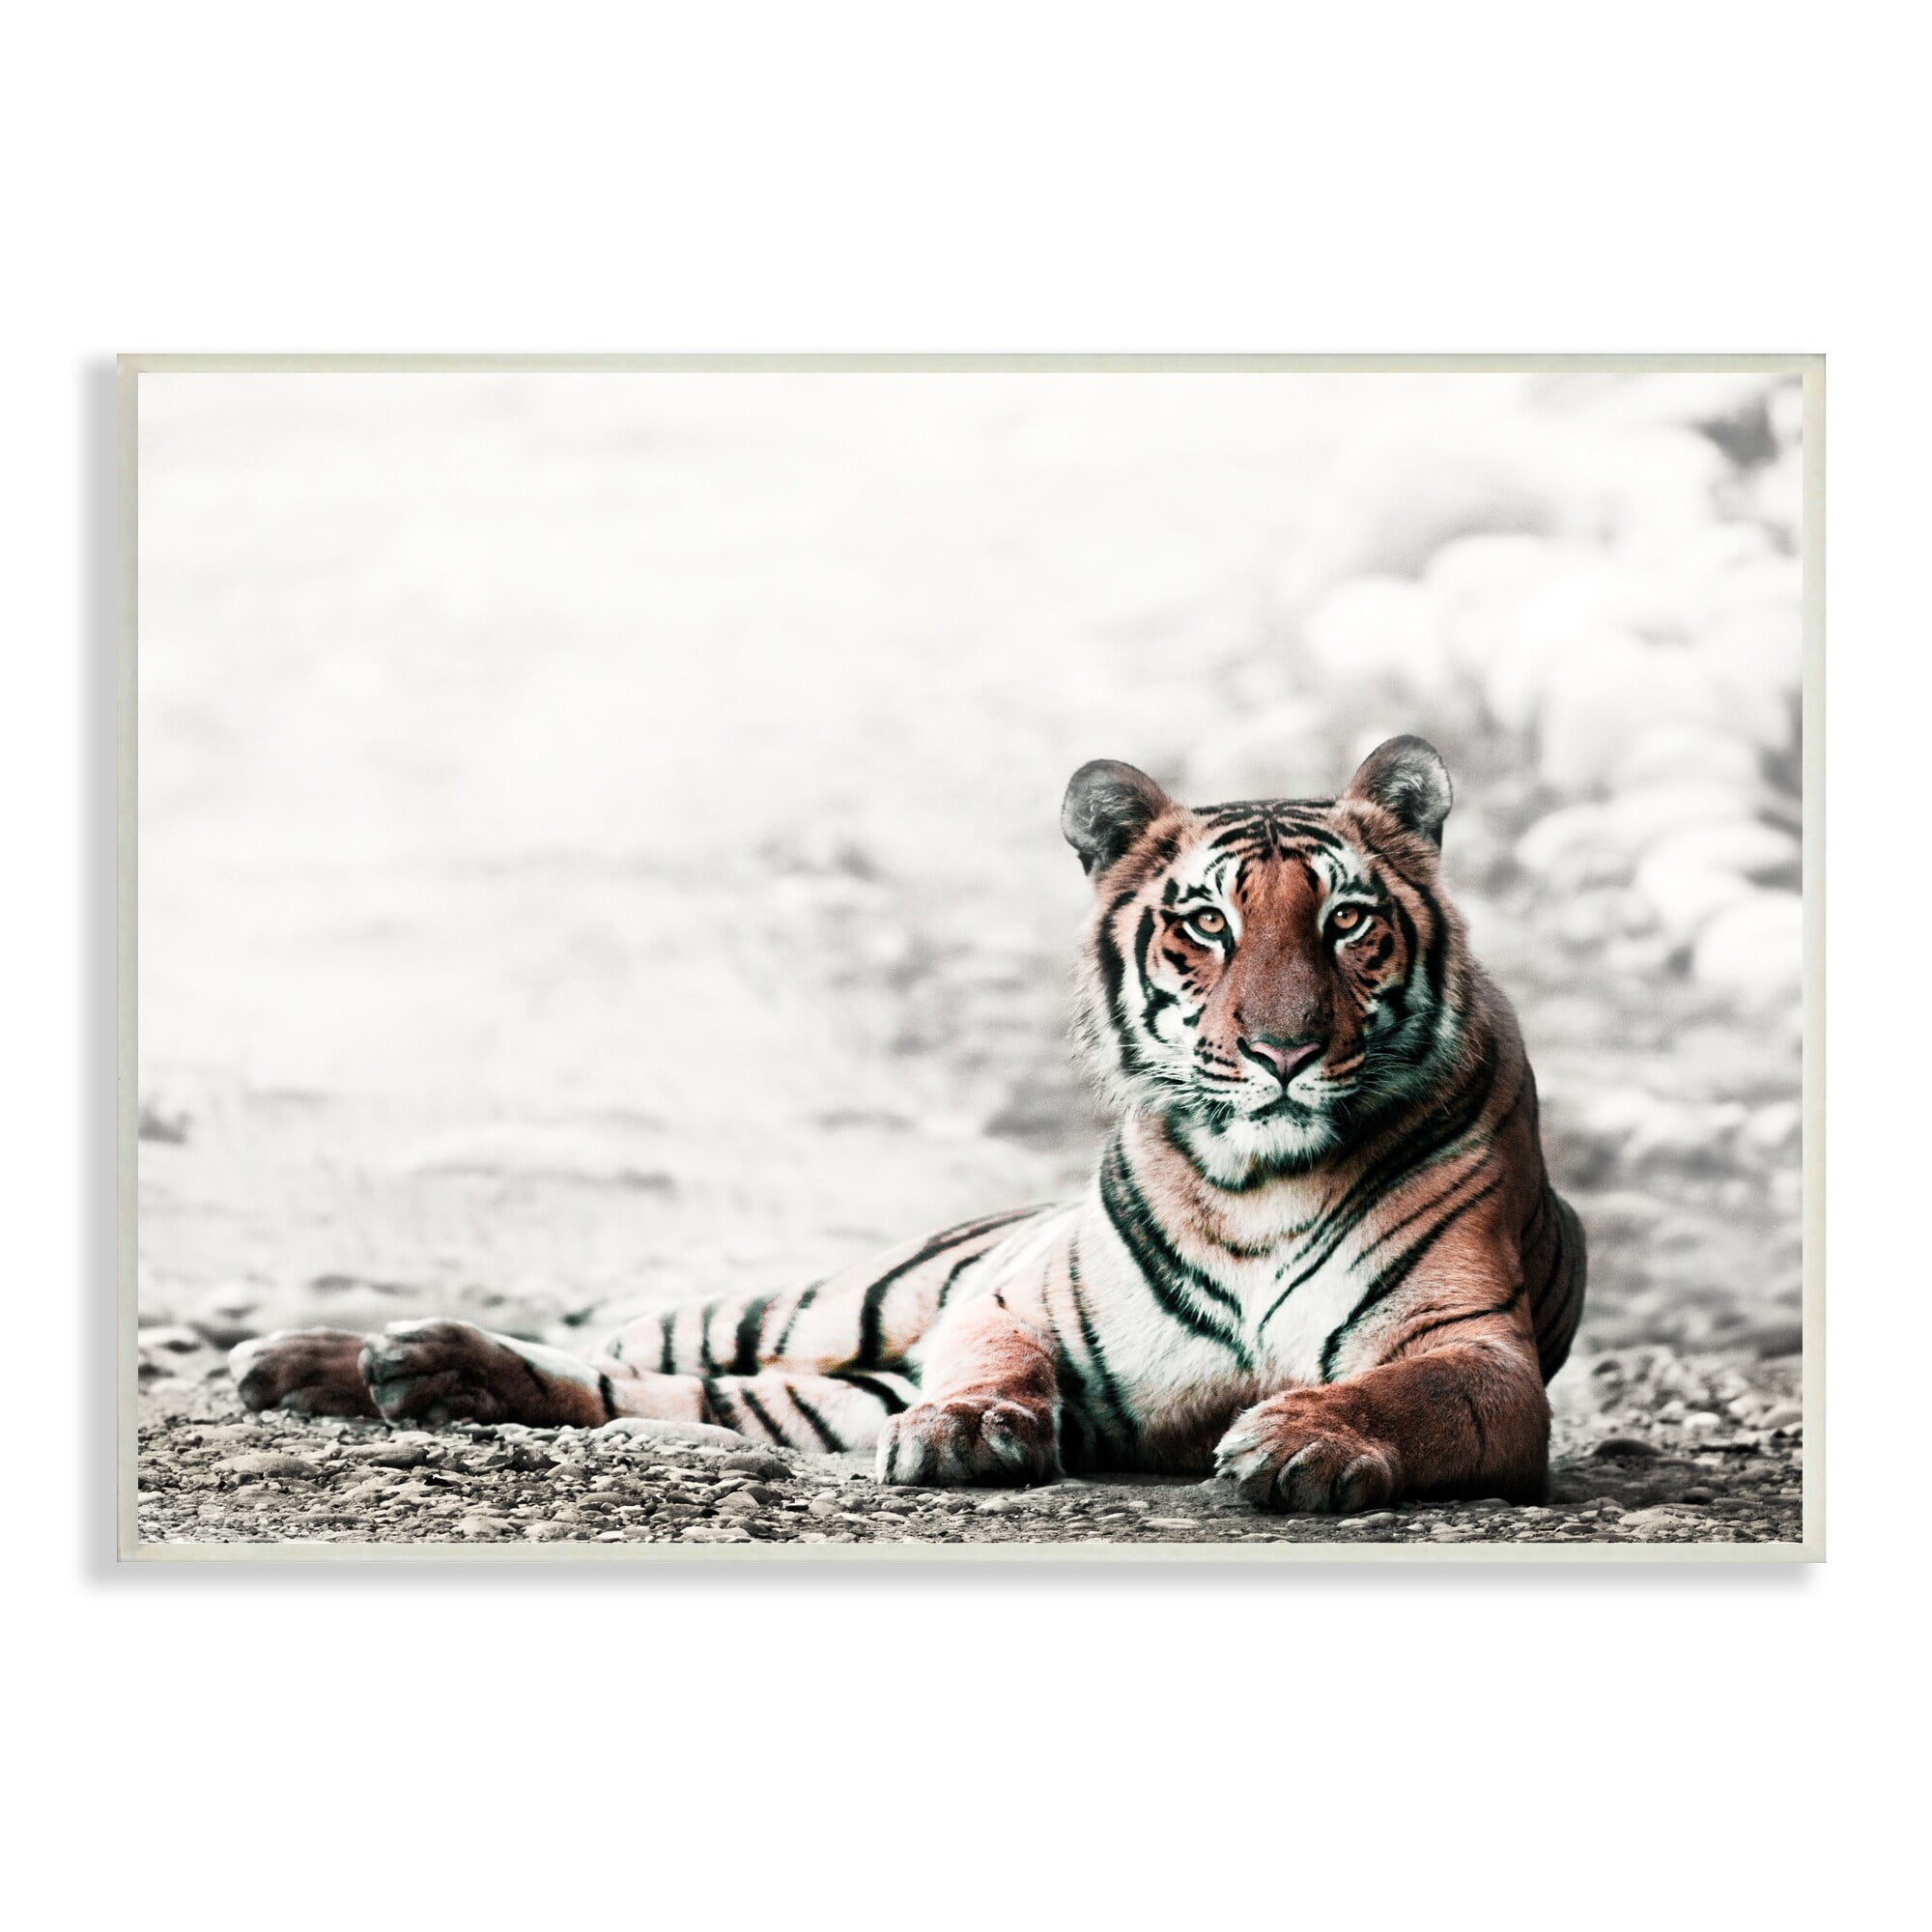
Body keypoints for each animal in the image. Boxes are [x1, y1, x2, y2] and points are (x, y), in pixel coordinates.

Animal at [230, 735, 1585, 1513]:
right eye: (1205, 923)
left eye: (1346, 922)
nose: (1283, 1052)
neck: (1256, 1176)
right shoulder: (1002, 1299)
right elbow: (993, 1359)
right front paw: (973, 1428)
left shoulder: (1478, 1350)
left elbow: (1403, 1394)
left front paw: (1301, 1438)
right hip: (830, 1304)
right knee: (631, 1342)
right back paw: (330, 1359)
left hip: (823, 1383)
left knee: (662, 1395)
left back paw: (404, 1370)